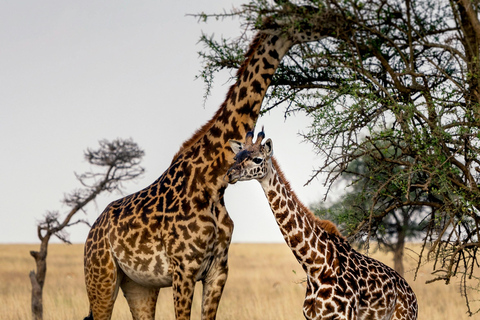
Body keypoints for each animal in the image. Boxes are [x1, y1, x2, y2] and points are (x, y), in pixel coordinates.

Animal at [83, 7, 338, 320]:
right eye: (304, 15)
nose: (335, 22)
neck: (212, 182)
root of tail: (92, 232)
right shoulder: (183, 270)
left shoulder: (218, 270)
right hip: (102, 276)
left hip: (139, 285)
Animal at [227, 130, 418, 320]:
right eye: (236, 156)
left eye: (258, 159)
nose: (230, 174)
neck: (315, 267)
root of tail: (413, 296)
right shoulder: (312, 317)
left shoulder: (346, 315)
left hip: (403, 317)